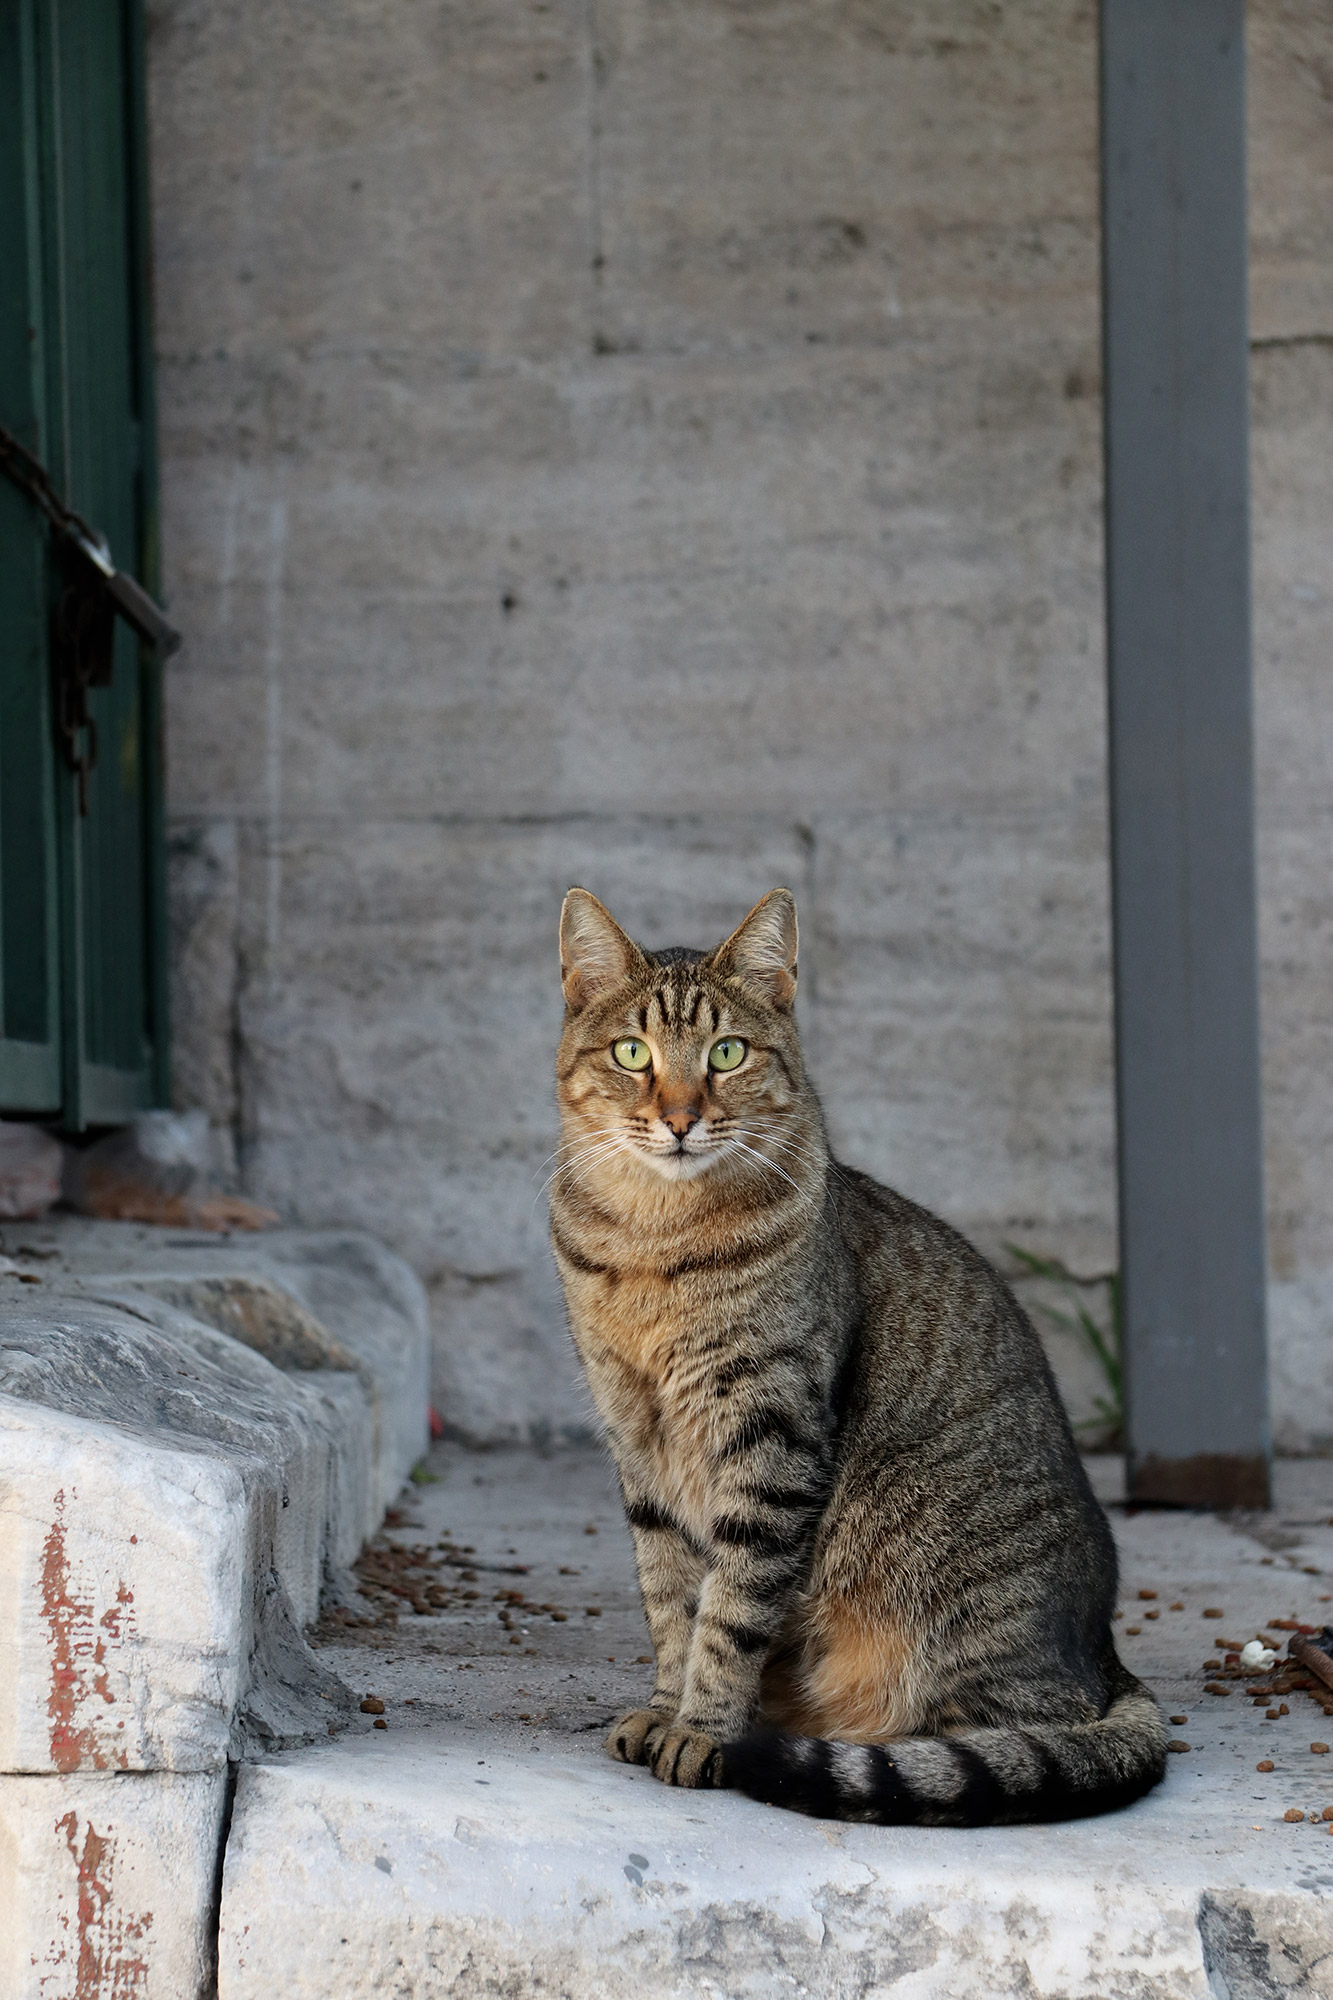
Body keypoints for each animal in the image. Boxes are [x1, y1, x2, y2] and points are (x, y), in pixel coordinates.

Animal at [544, 884, 1160, 1824]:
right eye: (631, 1052)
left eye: (726, 1053)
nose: (680, 1119)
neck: (654, 1243)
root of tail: (1106, 1651)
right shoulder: (636, 1442)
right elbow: (670, 1599)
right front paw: (662, 1706)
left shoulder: (771, 1432)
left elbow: (729, 1608)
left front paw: (702, 1728)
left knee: (1010, 1740)